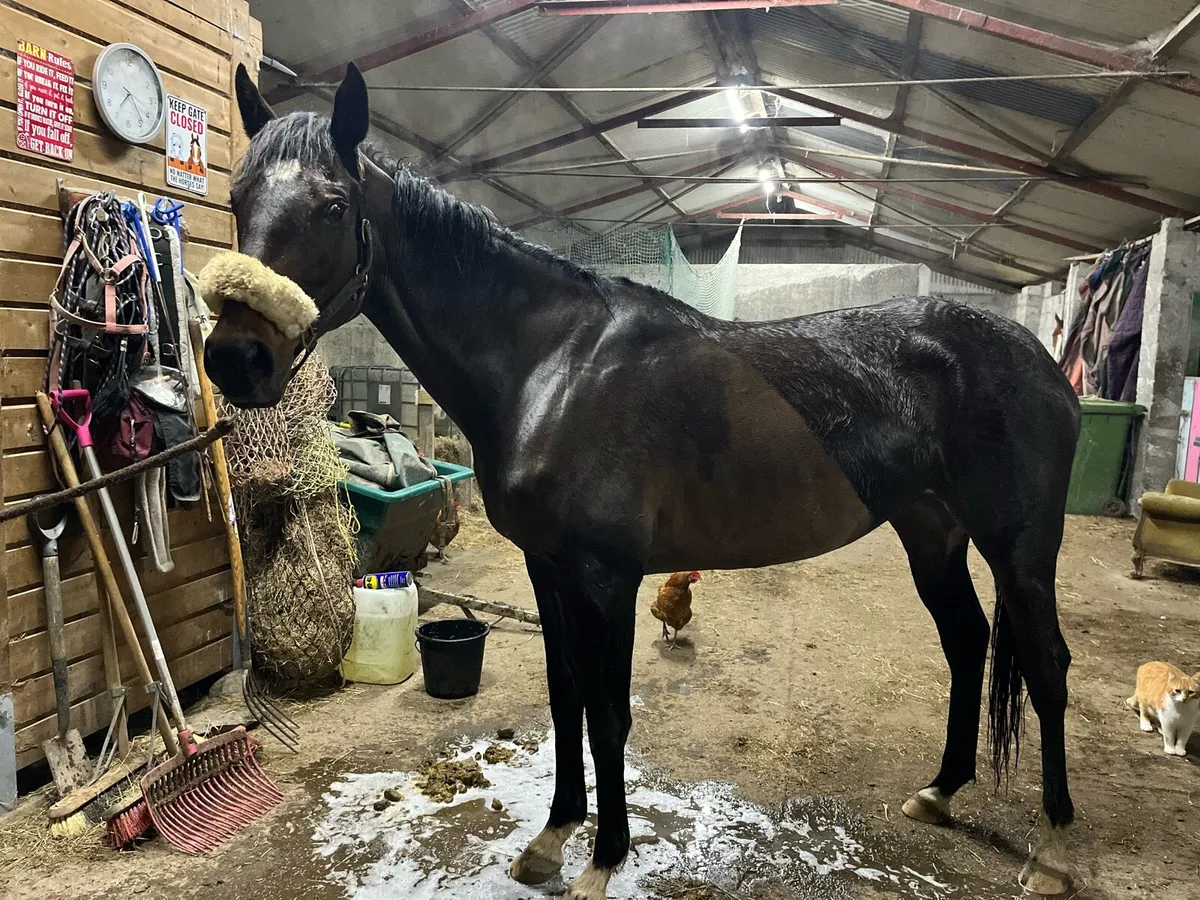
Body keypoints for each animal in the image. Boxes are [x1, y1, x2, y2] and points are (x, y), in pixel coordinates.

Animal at [205, 63, 1081, 899]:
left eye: (331, 205)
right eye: (237, 197)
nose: (234, 359)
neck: (552, 368)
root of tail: (1039, 362)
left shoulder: (608, 578)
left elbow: (608, 715)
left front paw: (603, 861)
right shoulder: (549, 569)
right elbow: (565, 699)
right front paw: (551, 838)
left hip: (1020, 548)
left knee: (1046, 667)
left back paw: (1053, 851)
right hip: (932, 531)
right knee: (967, 643)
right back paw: (941, 791)